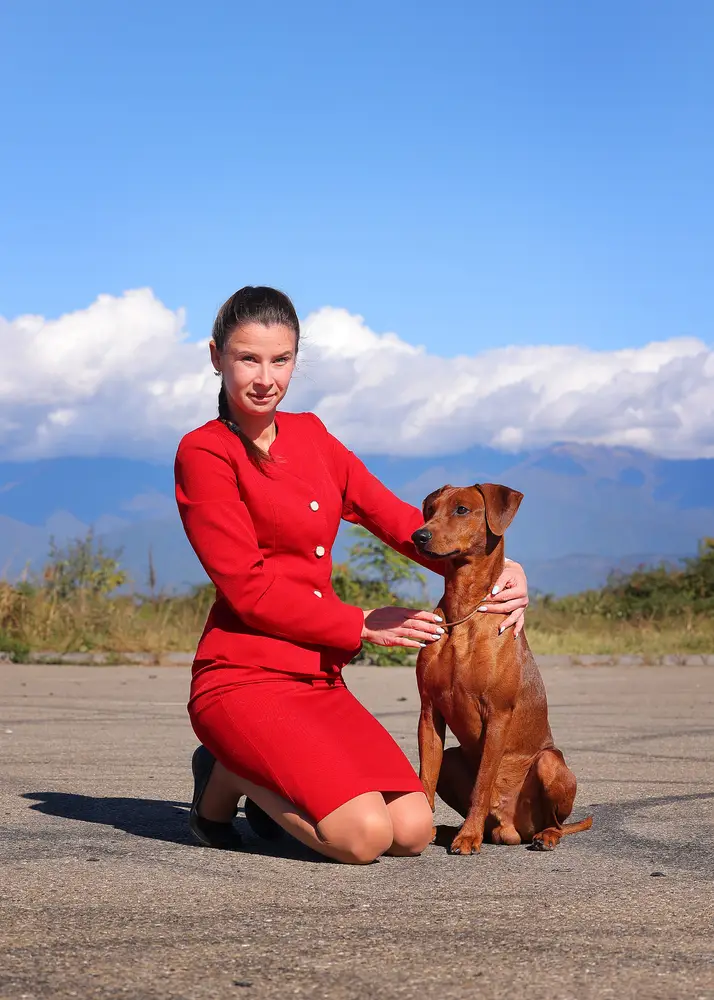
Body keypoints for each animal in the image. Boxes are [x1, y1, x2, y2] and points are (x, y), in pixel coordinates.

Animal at [411, 482, 592, 854]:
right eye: (431, 509)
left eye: (462, 509)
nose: (418, 536)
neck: (465, 609)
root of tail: (511, 829)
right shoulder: (429, 711)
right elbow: (426, 777)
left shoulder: (497, 714)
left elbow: (482, 784)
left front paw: (468, 837)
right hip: (453, 758)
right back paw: (449, 829)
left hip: (550, 763)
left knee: (557, 823)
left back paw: (542, 836)